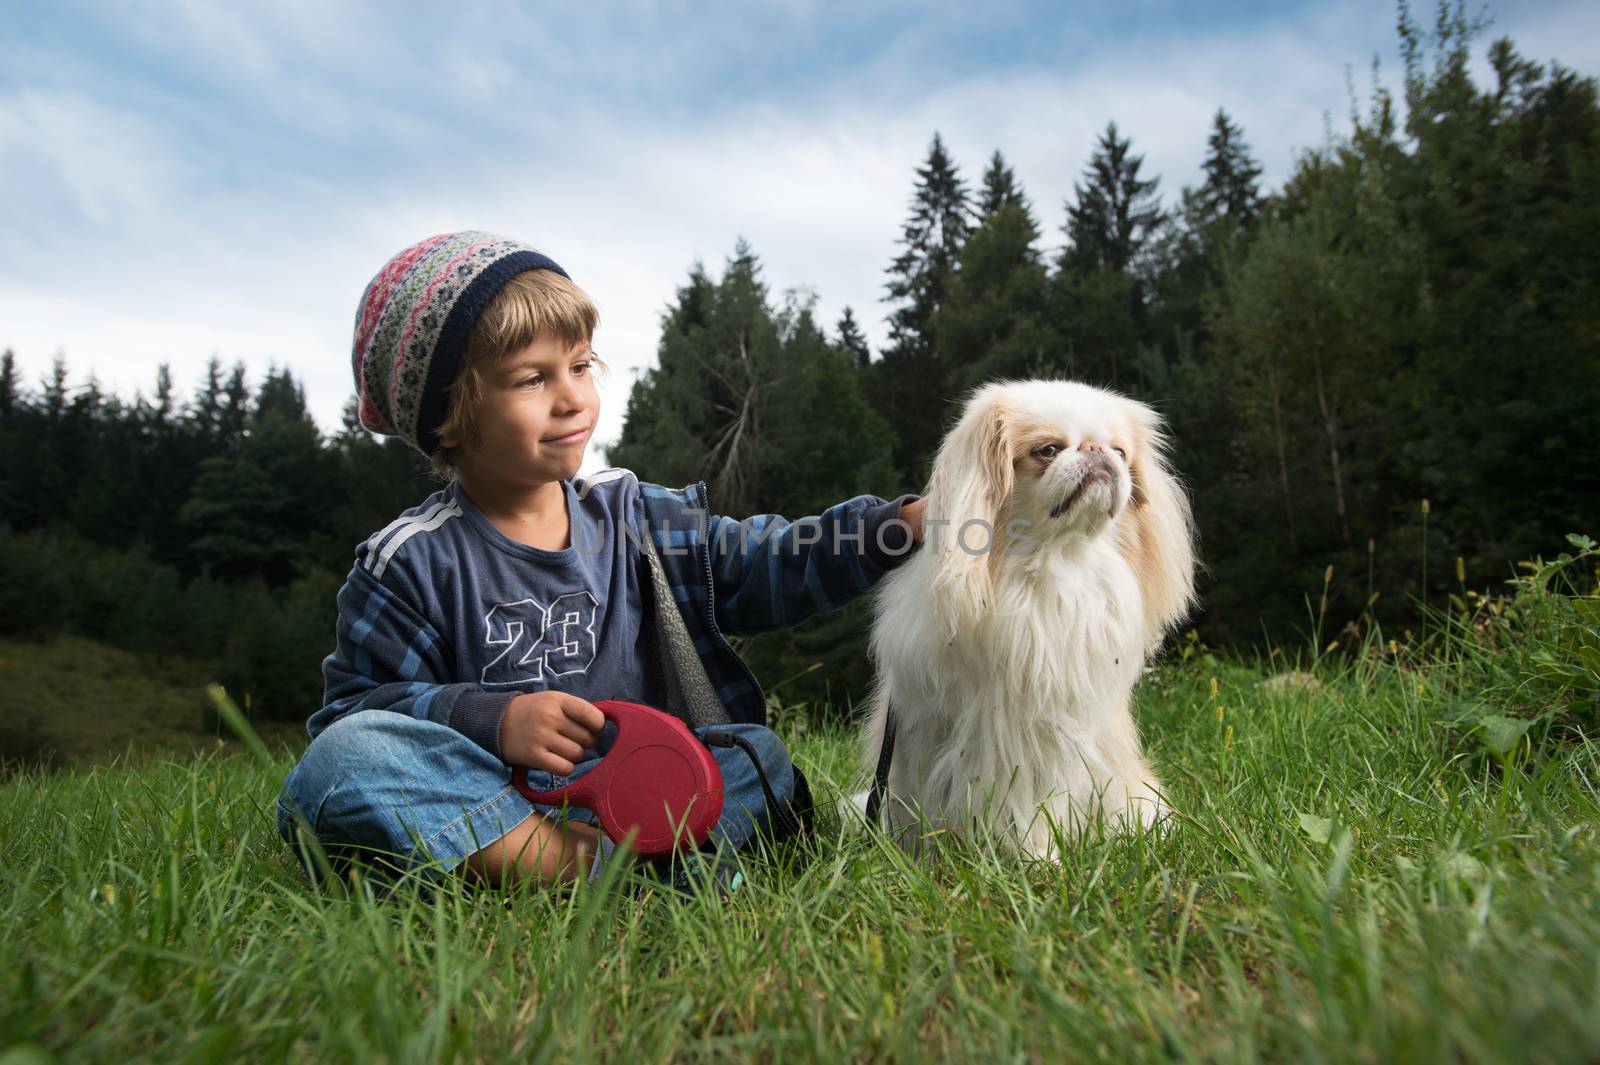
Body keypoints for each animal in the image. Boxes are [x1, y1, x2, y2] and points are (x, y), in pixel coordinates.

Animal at [870, 377, 1196, 857]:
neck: (1056, 564)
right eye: (1047, 450)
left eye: (1120, 453)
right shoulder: (1004, 740)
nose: (1097, 451)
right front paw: (1039, 860)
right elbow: (1021, 808)